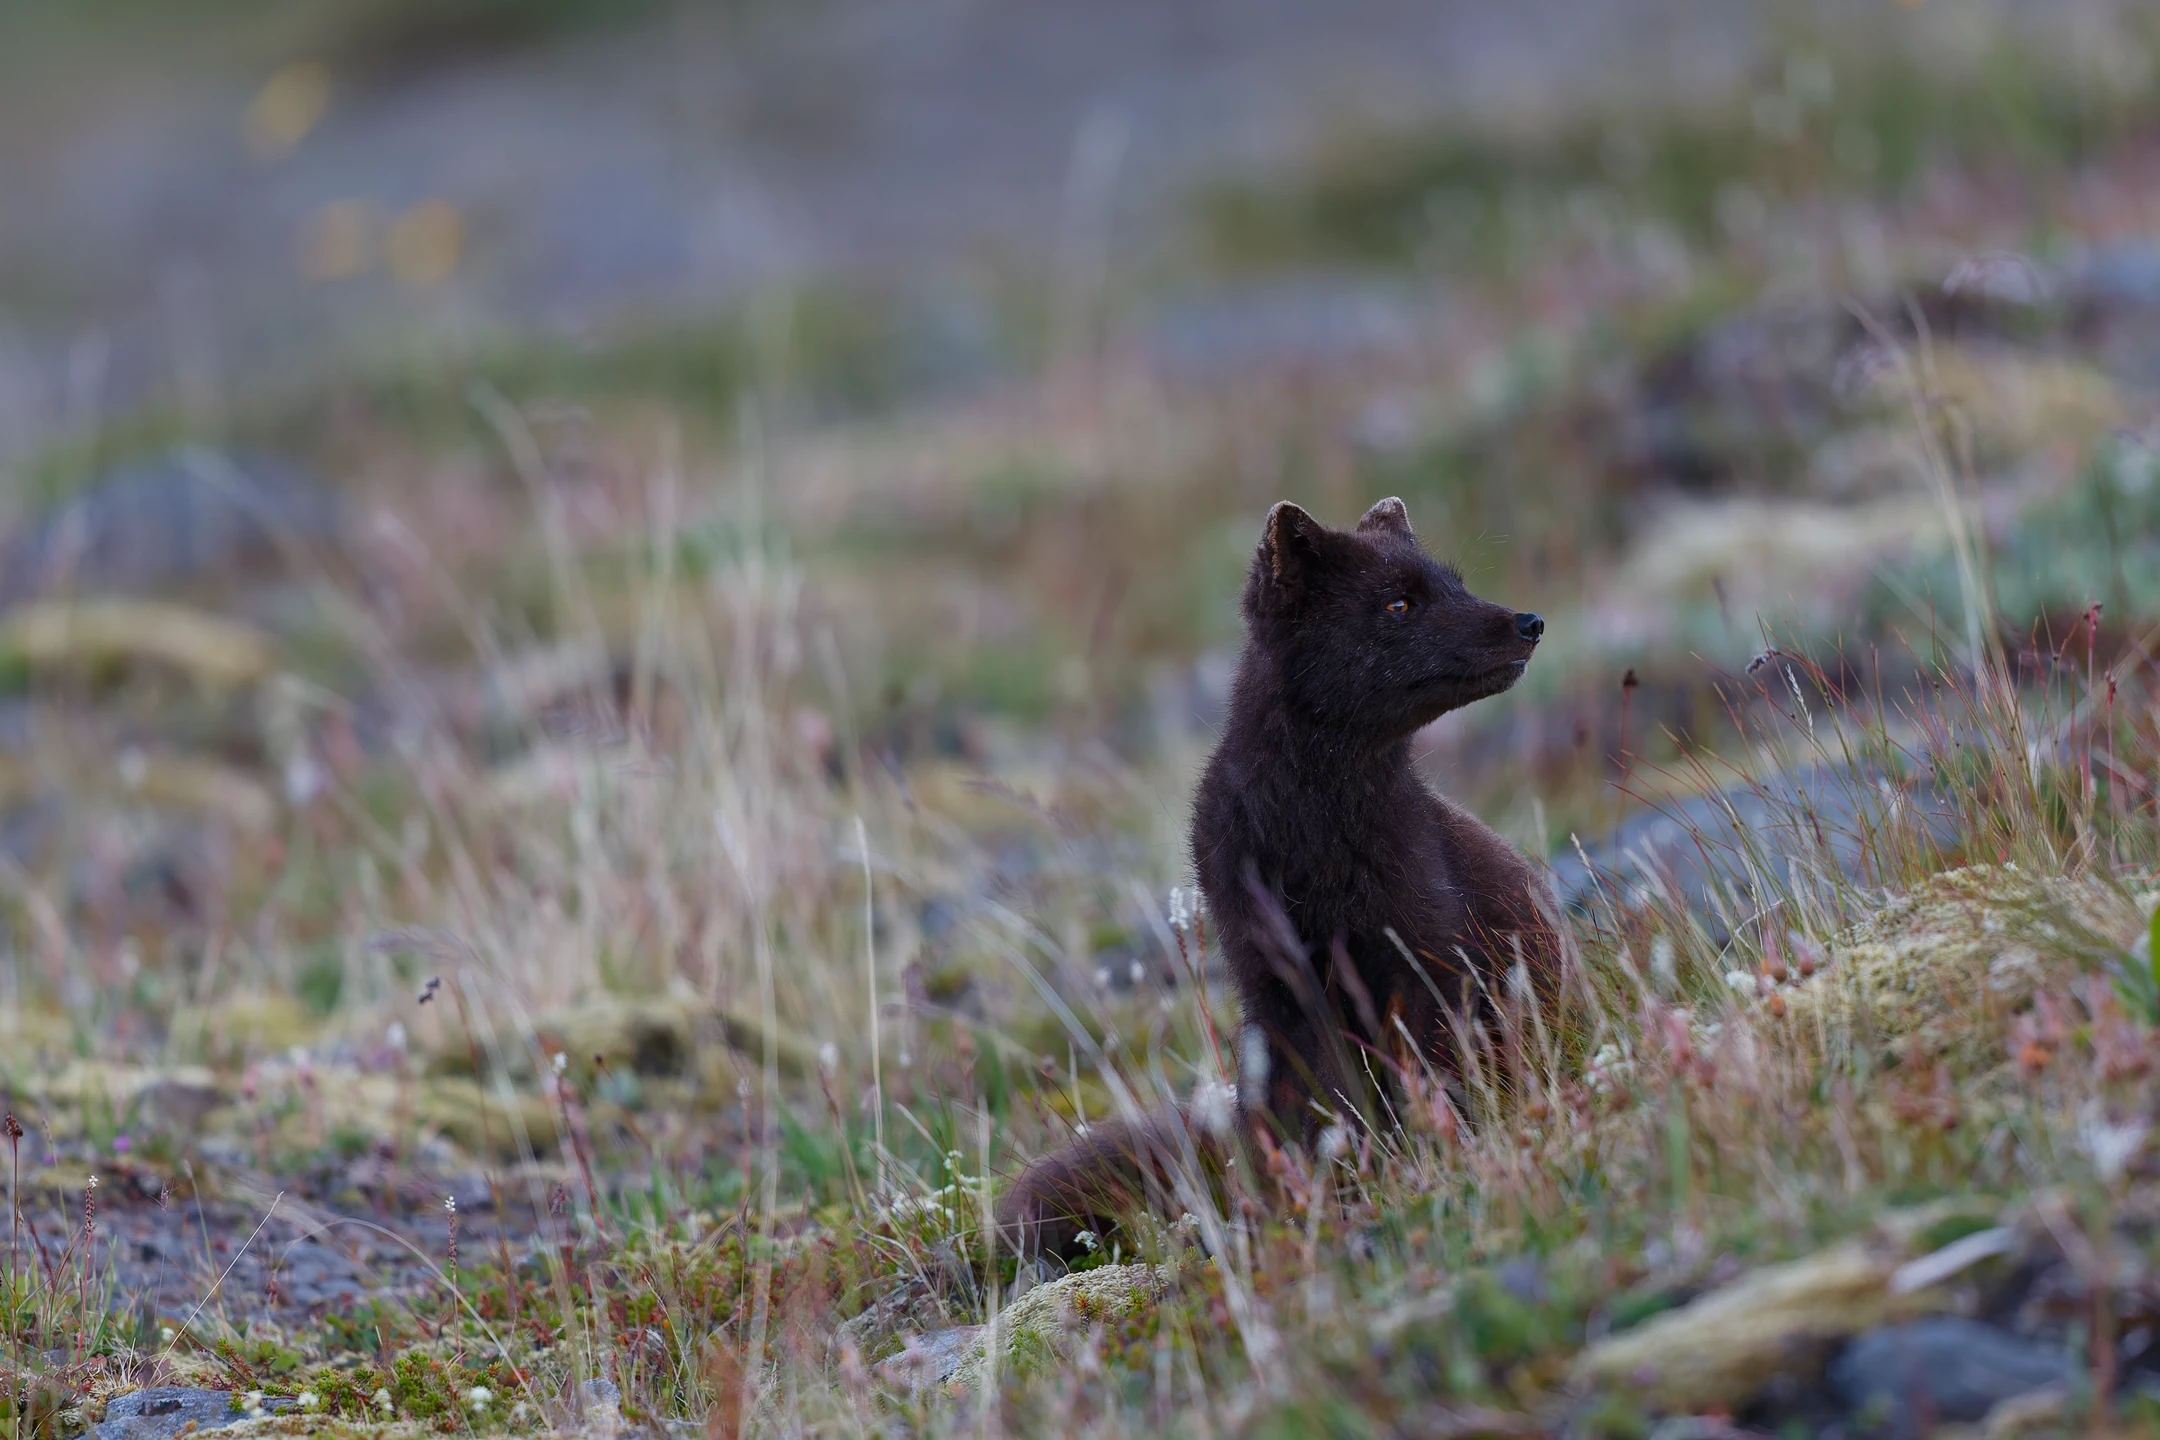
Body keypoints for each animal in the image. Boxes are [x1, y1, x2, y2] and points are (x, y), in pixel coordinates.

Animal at [996, 497, 1561, 1258]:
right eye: (1399, 602)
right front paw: (1312, 1196)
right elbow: (1314, 1104)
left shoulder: (1425, 949)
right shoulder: (1273, 975)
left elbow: (1429, 1063)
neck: (1314, 843)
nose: (1529, 622)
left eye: (1458, 582)